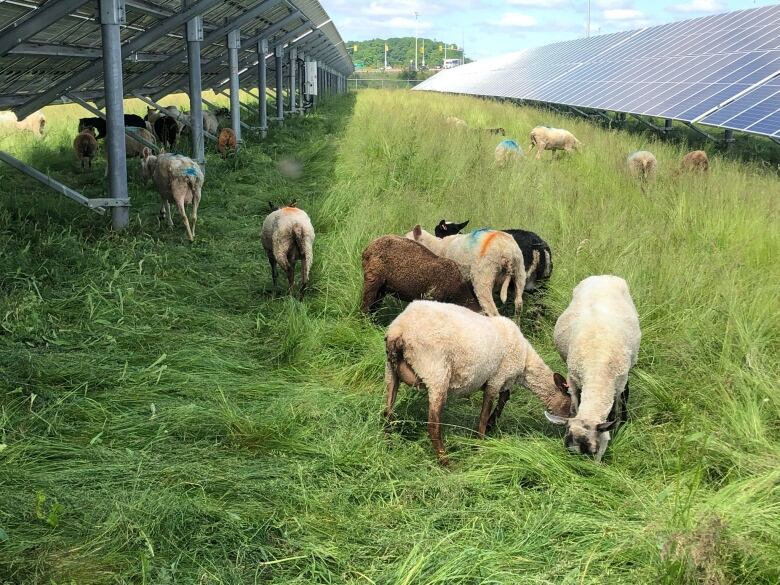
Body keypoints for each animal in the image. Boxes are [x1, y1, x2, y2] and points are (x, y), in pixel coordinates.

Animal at [386, 298, 572, 464]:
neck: (526, 360)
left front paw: (492, 423)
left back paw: (389, 444)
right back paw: (446, 463)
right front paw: (480, 445)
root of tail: (400, 329)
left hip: (391, 372)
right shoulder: (496, 379)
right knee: (433, 426)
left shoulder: (503, 379)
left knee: (387, 412)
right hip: (436, 373)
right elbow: (485, 414)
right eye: (571, 405)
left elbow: (505, 397)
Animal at [544, 276, 640, 464]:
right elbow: (575, 405)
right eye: (567, 449)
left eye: (594, 451)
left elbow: (615, 411)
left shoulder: (616, 386)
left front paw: (618, 427)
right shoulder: (573, 380)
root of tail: (604, 276)